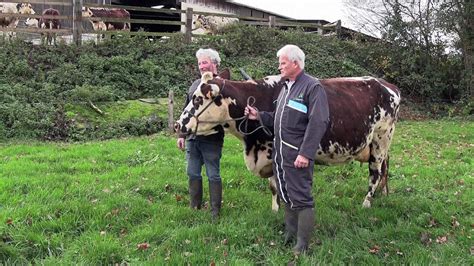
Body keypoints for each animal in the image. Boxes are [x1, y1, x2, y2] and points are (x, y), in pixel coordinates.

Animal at [174, 71, 400, 211]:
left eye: (197, 99)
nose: (177, 125)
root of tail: (386, 84)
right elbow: (273, 187)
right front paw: (275, 209)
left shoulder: (276, 154)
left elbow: (280, 186)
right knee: (384, 169)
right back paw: (382, 194)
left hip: (381, 139)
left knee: (375, 173)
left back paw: (367, 202)